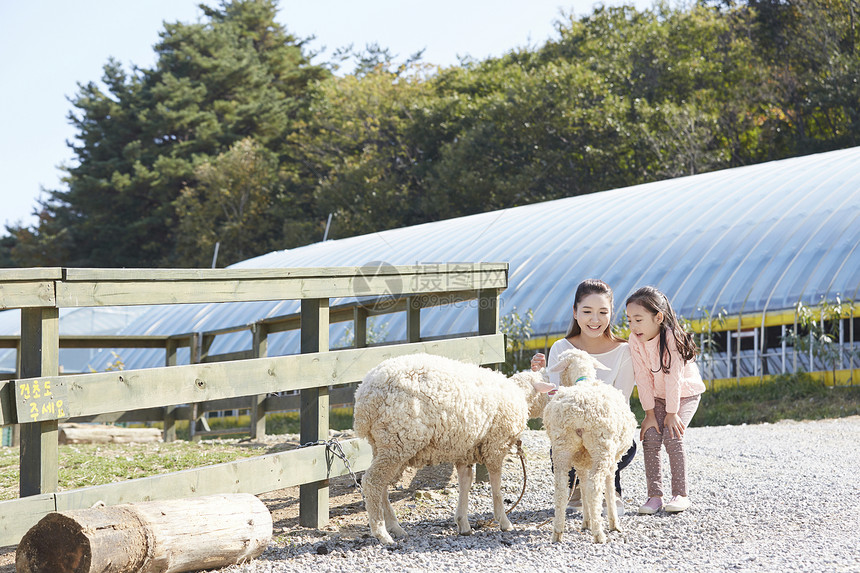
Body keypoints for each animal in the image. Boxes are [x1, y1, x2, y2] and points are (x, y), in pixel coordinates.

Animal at [352, 350, 556, 544]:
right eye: (549, 390)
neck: (521, 395)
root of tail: (364, 396)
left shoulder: (464, 451)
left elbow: (465, 483)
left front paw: (463, 523)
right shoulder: (495, 446)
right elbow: (496, 487)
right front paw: (504, 521)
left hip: (385, 444)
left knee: (382, 485)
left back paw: (395, 526)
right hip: (397, 441)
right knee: (372, 482)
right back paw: (382, 533)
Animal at [544, 346, 640, 544]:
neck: (584, 379)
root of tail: (579, 412)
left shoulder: (581, 460)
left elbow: (583, 488)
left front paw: (586, 521)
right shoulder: (612, 459)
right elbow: (608, 486)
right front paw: (613, 523)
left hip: (562, 448)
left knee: (561, 489)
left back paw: (558, 532)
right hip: (602, 448)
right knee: (595, 486)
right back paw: (599, 533)